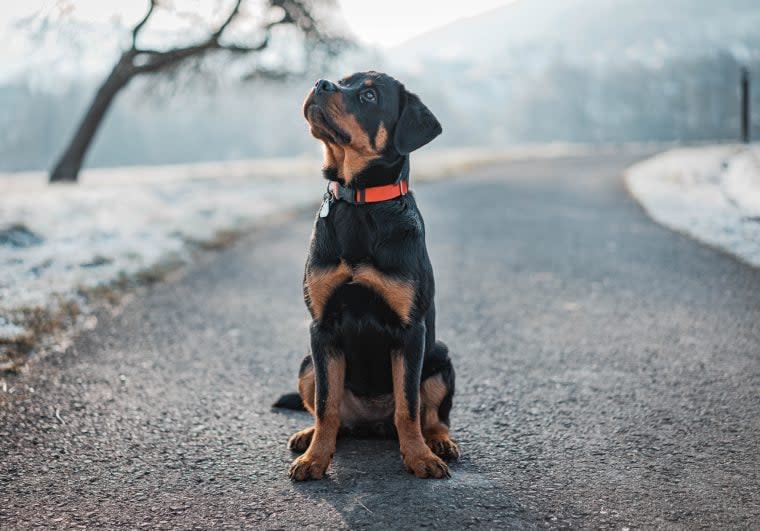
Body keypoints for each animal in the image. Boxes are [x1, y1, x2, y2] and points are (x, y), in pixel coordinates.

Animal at [278, 71, 460, 482]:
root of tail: (370, 424)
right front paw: (315, 459)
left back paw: (438, 442)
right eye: (343, 80)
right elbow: (326, 404)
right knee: (329, 413)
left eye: (369, 95)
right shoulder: (322, 327)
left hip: (440, 357)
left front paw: (419, 458)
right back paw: (307, 435)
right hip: (307, 363)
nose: (321, 83)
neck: (360, 202)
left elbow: (408, 405)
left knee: (432, 416)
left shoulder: (411, 331)